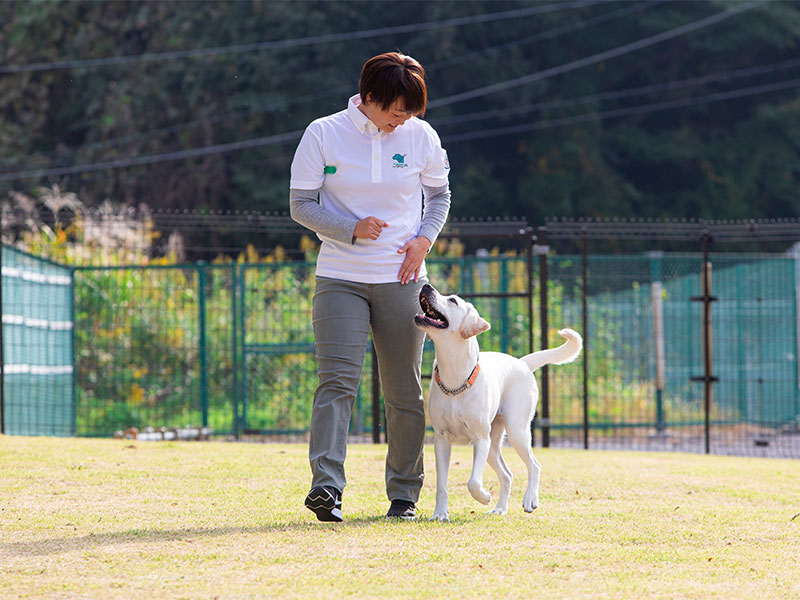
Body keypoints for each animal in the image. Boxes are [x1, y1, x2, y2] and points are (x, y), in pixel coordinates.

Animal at [412, 282, 580, 520]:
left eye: (453, 300)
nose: (426, 285)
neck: (455, 378)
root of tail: (522, 363)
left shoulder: (480, 439)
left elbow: (473, 481)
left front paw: (483, 497)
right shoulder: (441, 440)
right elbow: (441, 484)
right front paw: (440, 514)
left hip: (516, 431)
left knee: (534, 465)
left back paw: (530, 500)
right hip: (493, 446)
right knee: (507, 474)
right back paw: (500, 508)